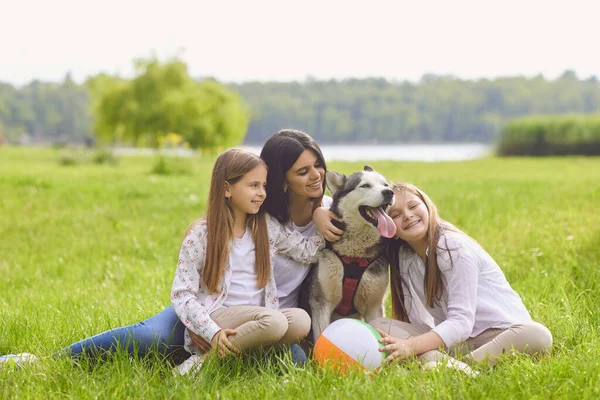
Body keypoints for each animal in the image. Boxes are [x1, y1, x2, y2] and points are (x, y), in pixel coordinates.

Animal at [310, 166, 398, 340]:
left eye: (385, 184)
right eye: (365, 185)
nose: (389, 192)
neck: (354, 257)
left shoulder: (374, 305)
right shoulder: (321, 302)